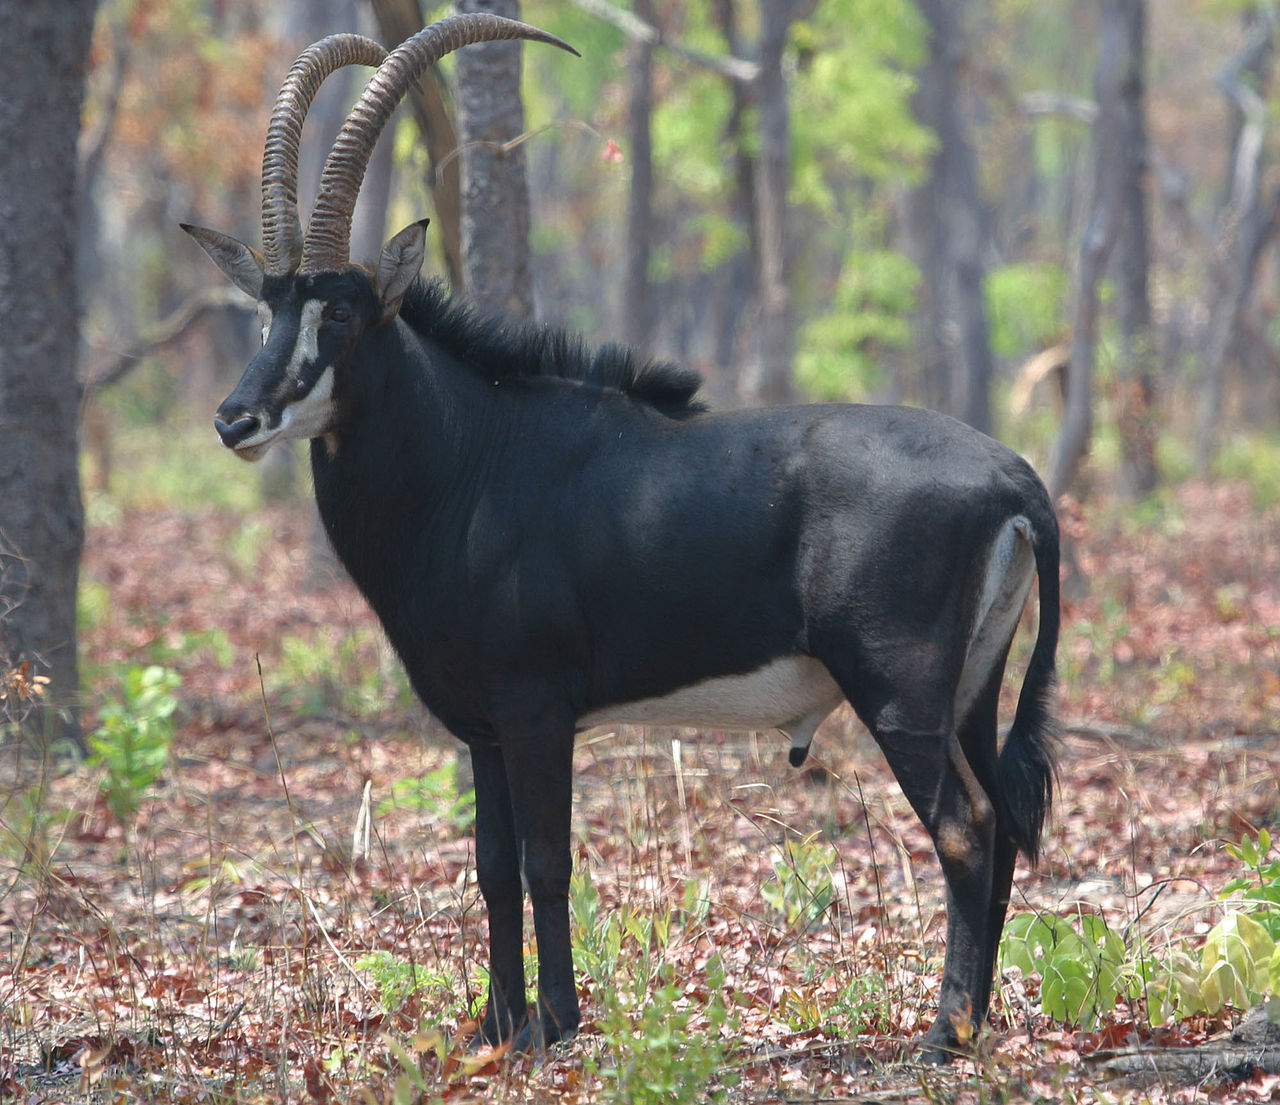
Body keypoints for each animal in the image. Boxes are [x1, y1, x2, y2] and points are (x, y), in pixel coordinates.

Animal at [183, 10, 1059, 1065]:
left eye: (341, 311)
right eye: (267, 307)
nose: (234, 418)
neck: (472, 458)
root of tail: (1012, 475)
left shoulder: (537, 710)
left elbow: (546, 861)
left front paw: (554, 1024)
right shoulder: (483, 727)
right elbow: (490, 864)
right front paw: (494, 1024)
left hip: (900, 693)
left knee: (966, 827)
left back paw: (945, 1033)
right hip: (972, 690)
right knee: (1002, 822)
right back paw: (976, 1021)